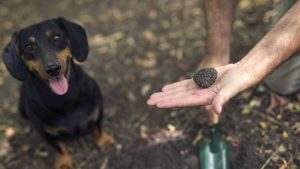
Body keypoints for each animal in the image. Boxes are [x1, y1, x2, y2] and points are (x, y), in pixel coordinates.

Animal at [2, 17, 115, 169]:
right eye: (29, 46)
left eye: (56, 37)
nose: (53, 69)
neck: (65, 100)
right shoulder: (48, 134)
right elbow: (60, 147)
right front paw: (64, 162)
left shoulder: (98, 112)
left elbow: (98, 128)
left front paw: (104, 141)